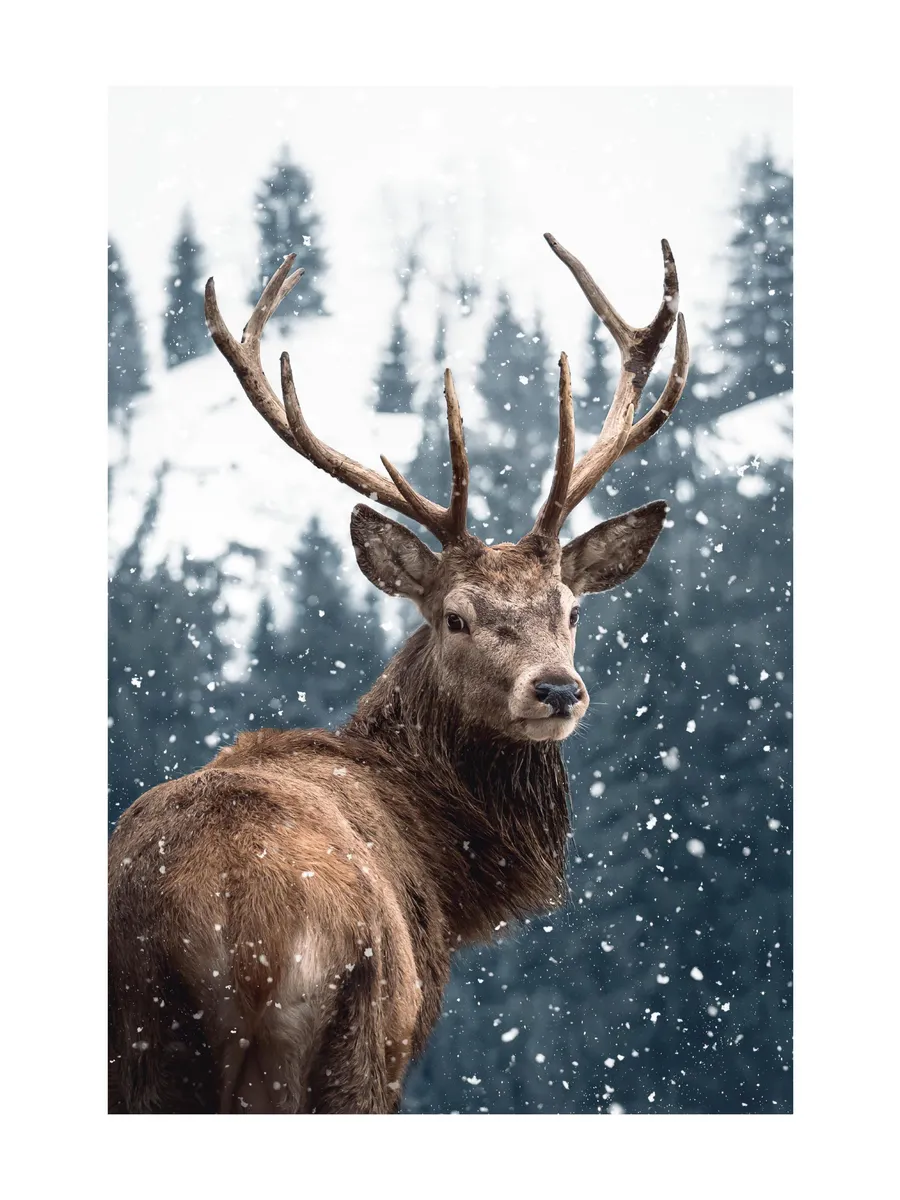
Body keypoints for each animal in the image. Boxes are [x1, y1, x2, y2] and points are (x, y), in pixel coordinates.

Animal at [108, 232, 689, 1114]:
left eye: (572, 610)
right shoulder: (398, 1043)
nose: (556, 688)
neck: (448, 873)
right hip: (341, 1037)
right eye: (456, 616)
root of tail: (233, 932)